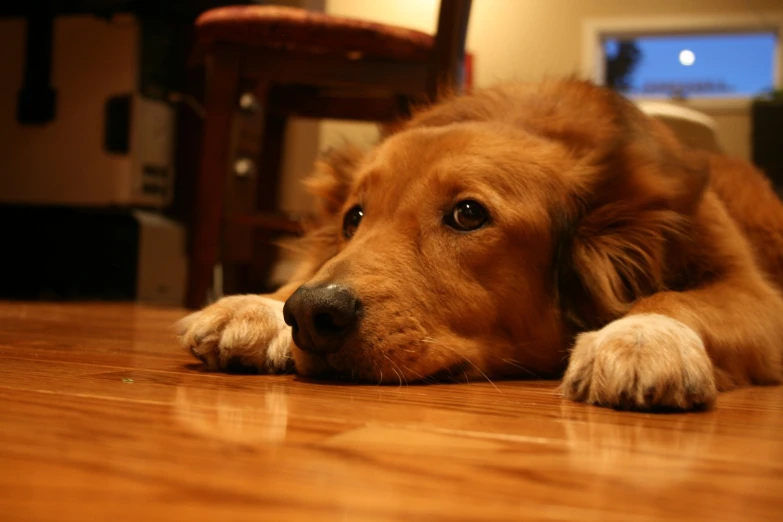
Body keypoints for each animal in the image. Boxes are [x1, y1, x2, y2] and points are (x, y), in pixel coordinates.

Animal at [178, 79, 783, 408]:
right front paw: (254, 307)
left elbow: (675, 298)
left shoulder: (756, 294)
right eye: (354, 217)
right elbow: (304, 271)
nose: (309, 315)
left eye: (468, 214)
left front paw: (642, 335)